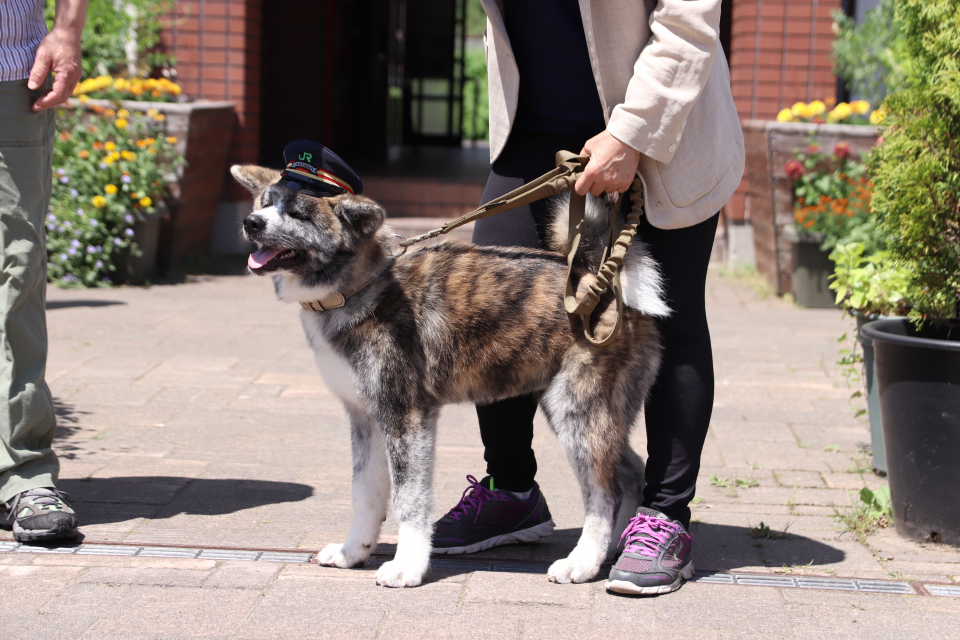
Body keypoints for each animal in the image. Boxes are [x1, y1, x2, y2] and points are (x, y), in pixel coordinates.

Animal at [232, 164, 668, 584]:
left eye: (299, 214)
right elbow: (365, 493)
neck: (360, 285)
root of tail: (602, 280)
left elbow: (409, 500)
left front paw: (407, 566)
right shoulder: (366, 418)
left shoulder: (406, 417)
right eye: (265, 203)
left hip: (576, 413)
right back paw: (611, 551)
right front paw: (353, 551)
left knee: (604, 493)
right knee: (631, 474)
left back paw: (583, 562)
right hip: (592, 414)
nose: (251, 222)